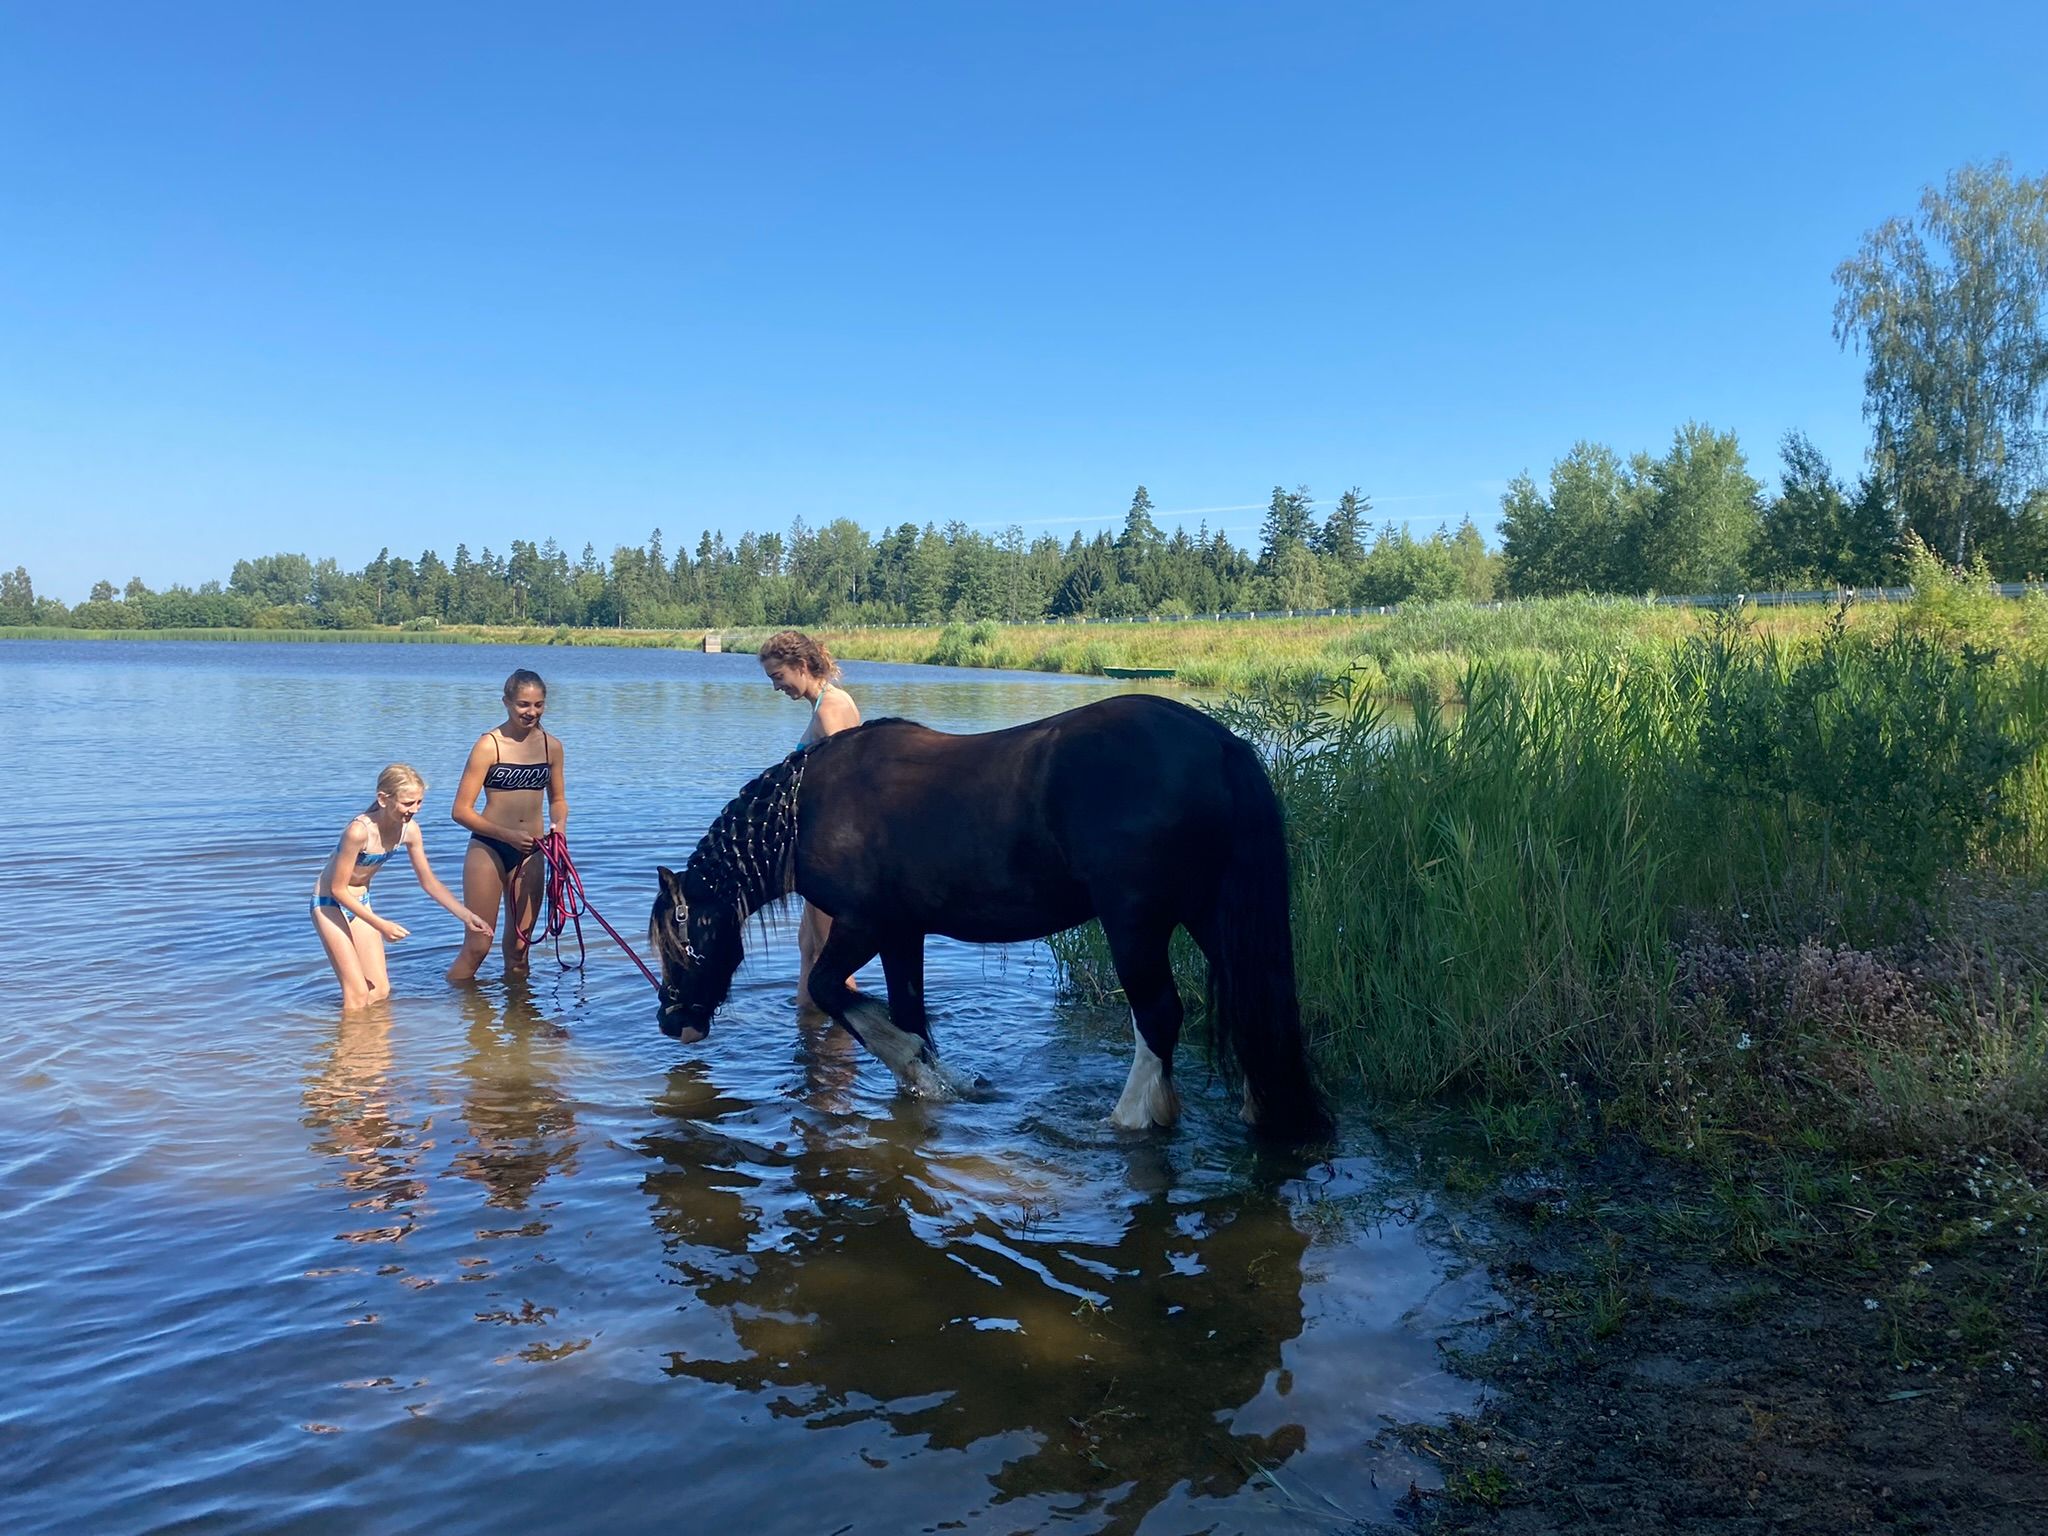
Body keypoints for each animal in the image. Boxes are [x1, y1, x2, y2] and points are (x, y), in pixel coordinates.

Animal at [647, 693, 1332, 1143]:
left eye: (677, 942)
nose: (672, 1020)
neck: (808, 808)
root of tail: (1217, 744)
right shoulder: (903, 932)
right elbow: (908, 1009)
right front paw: (935, 1079)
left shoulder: (863, 924)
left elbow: (830, 990)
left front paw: (917, 1065)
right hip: (1209, 914)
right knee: (1253, 1001)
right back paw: (1265, 1110)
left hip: (1135, 924)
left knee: (1159, 1015)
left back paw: (1132, 1119)